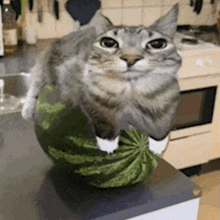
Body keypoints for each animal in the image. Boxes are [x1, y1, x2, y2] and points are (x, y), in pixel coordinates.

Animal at [21, 3, 182, 155]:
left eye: (157, 44)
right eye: (109, 43)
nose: (130, 58)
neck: (131, 91)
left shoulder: (169, 97)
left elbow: (162, 123)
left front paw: (158, 144)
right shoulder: (84, 92)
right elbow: (102, 118)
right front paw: (108, 145)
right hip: (45, 65)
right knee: (34, 84)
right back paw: (28, 109)